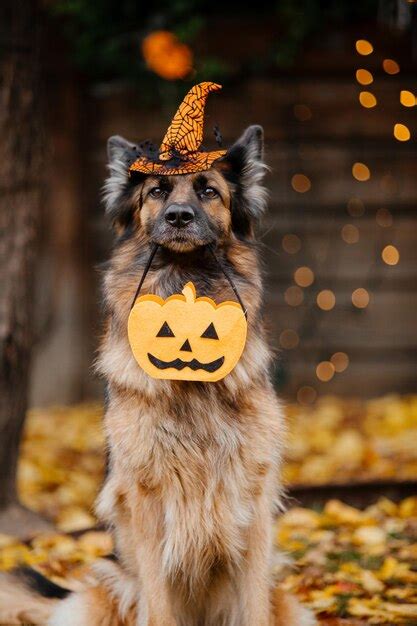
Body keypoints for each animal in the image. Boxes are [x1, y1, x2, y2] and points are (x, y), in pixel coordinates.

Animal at [0, 124, 314, 620]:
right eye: (157, 191)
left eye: (209, 191)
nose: (179, 217)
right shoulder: (146, 500)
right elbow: (159, 602)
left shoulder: (253, 499)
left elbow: (254, 605)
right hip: (102, 593)